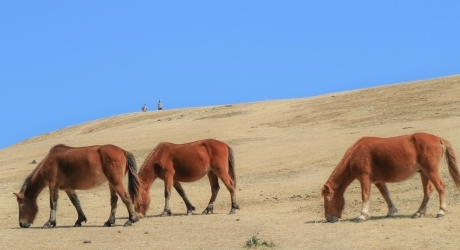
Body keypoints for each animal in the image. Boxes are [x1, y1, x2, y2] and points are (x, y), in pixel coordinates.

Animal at [322, 133, 460, 223]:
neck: (354, 155)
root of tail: (438, 139)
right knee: (428, 191)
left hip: (431, 171)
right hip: (423, 173)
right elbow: (386, 195)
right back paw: (418, 212)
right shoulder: (378, 181)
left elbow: (365, 195)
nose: (329, 218)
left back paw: (441, 211)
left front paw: (362, 215)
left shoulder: (364, 177)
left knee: (440, 187)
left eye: (327, 199)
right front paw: (391, 211)